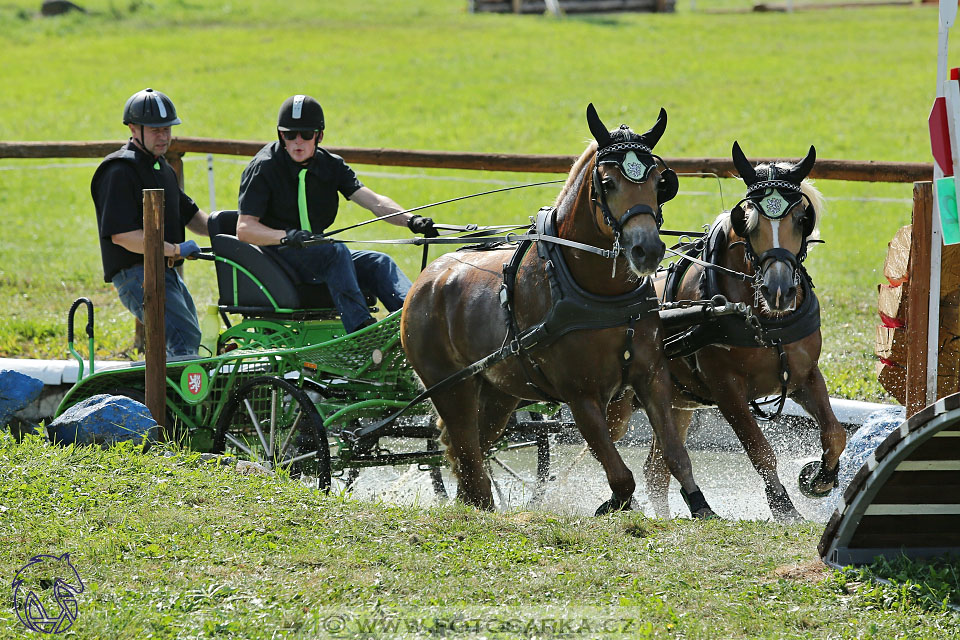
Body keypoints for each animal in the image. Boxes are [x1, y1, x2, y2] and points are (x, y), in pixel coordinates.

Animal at [398, 104, 712, 516]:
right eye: (607, 182)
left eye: (661, 182)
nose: (647, 250)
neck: (597, 293)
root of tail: (426, 279)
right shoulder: (581, 395)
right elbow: (621, 476)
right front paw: (612, 505)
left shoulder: (652, 376)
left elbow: (676, 455)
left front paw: (701, 506)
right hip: (451, 388)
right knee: (469, 457)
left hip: (498, 395)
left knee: (474, 455)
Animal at [644, 142, 848, 524]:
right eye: (747, 220)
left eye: (802, 219)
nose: (779, 290)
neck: (765, 322)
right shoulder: (727, 390)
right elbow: (760, 450)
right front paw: (783, 507)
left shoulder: (804, 375)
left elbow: (834, 433)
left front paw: (820, 479)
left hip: (675, 404)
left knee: (656, 470)